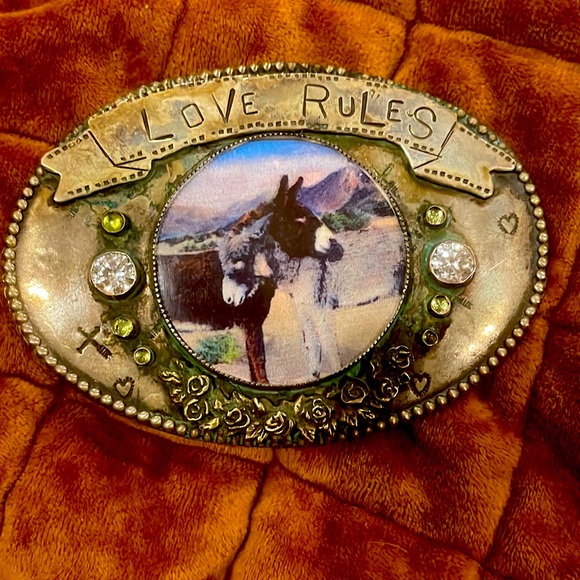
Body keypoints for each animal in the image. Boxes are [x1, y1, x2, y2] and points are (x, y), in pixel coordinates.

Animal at [157, 175, 343, 385]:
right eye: (299, 219)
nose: (337, 248)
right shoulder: (251, 323)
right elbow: (259, 361)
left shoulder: (250, 325)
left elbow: (254, 367)